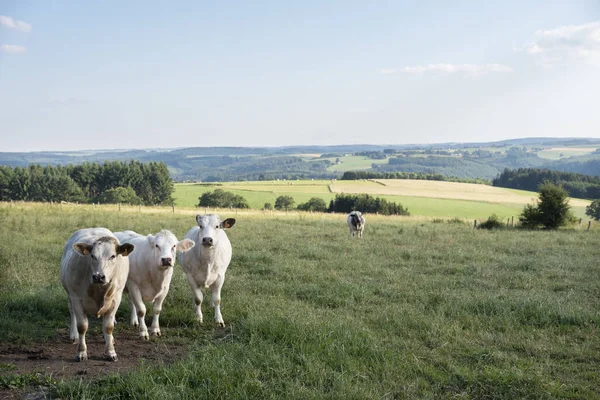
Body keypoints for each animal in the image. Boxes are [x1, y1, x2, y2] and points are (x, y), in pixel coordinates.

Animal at [58, 228, 134, 362]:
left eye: (113, 256)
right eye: (92, 256)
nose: (99, 276)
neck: (98, 289)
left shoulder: (115, 299)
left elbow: (108, 326)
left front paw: (110, 352)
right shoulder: (76, 298)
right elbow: (82, 326)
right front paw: (81, 352)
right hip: (69, 294)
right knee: (72, 312)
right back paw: (74, 335)